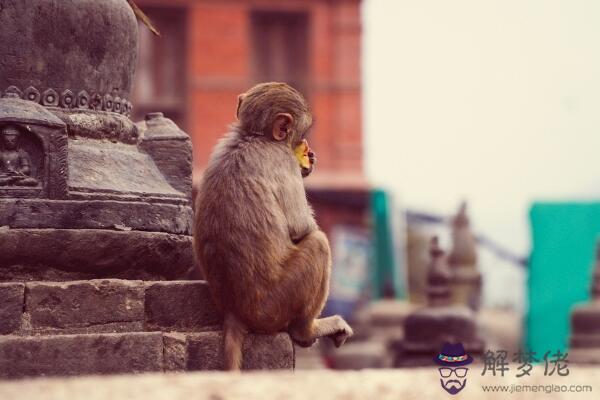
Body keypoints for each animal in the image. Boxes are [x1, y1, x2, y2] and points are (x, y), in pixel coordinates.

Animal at [193, 82, 352, 372]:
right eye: (302, 134)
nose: (309, 151)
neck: (253, 136)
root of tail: (234, 311)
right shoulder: (282, 160)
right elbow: (301, 227)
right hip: (275, 306)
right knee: (319, 243)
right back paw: (306, 331)